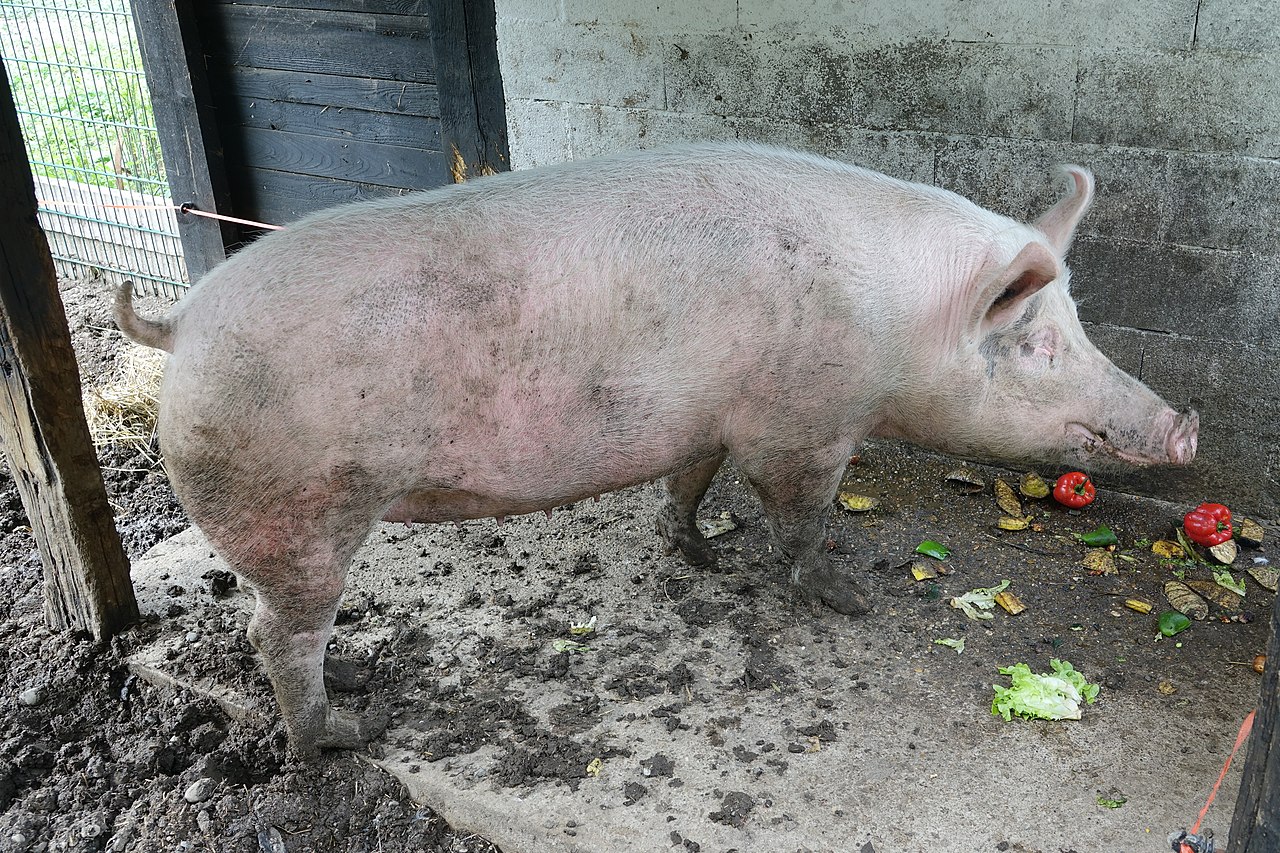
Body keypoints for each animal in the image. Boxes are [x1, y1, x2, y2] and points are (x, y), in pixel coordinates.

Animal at [115, 142, 1198, 755]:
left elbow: (688, 481)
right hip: (294, 505)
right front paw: (850, 596)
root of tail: (180, 322)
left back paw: (352, 680)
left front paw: (701, 552)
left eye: (1079, 322)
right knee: (274, 632)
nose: (1184, 422)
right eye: (1038, 343)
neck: (895, 325)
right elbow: (799, 518)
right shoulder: (802, 425)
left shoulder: (709, 416)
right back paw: (346, 730)